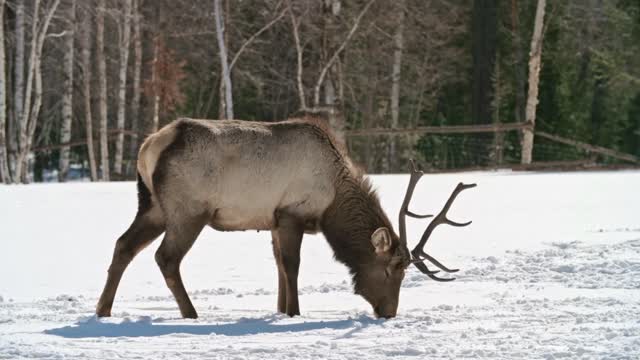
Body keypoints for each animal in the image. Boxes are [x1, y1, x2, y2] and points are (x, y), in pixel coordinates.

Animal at [96, 114, 476, 318]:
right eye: (391, 270)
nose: (388, 312)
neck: (333, 200)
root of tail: (148, 147)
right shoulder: (293, 211)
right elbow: (292, 265)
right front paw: (293, 311)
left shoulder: (274, 220)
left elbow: (279, 264)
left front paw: (280, 309)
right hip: (188, 209)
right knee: (166, 257)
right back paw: (190, 313)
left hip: (152, 206)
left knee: (122, 245)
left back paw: (103, 310)